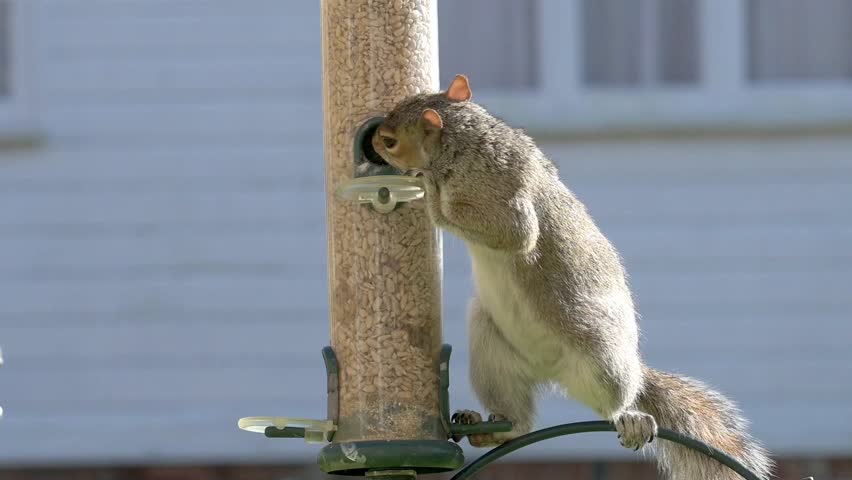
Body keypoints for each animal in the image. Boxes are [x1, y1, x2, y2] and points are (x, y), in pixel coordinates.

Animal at [371, 75, 773, 480]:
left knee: (612, 402)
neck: (463, 145)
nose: (372, 141)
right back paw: (491, 428)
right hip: (491, 347)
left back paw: (629, 418)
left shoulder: (500, 197)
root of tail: (550, 370)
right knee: (518, 420)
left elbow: (512, 234)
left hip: (601, 354)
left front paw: (429, 191)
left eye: (391, 141)